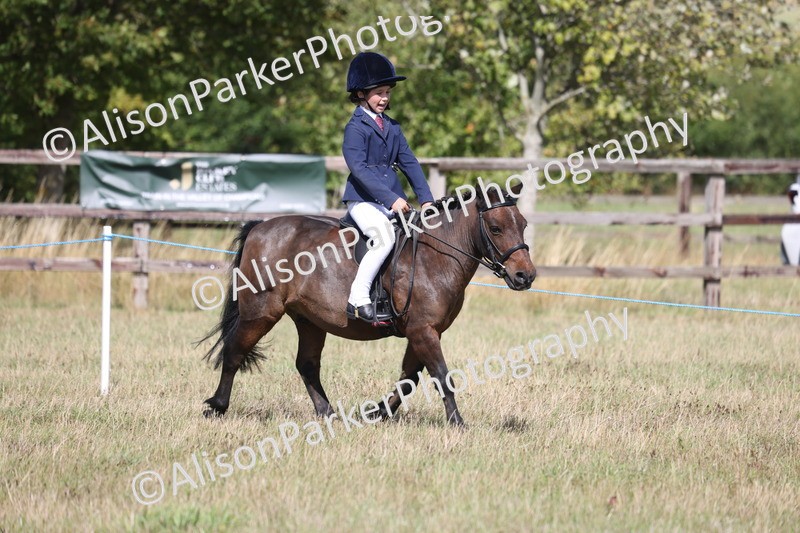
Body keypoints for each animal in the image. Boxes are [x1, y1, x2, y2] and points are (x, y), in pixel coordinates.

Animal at [200, 182, 536, 426]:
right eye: (495, 228)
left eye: (523, 223)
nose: (526, 276)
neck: (435, 255)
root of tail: (259, 227)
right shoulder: (422, 330)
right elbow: (441, 375)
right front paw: (457, 422)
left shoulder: (424, 331)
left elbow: (409, 378)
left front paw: (377, 412)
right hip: (261, 313)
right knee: (234, 351)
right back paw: (216, 406)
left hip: (309, 320)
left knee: (307, 365)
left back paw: (329, 414)